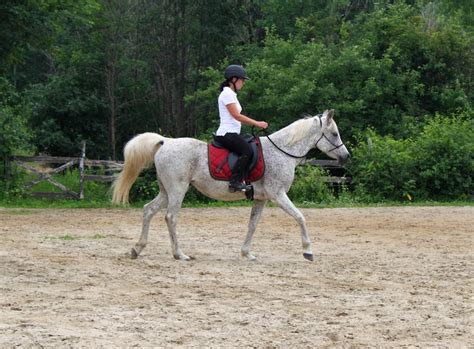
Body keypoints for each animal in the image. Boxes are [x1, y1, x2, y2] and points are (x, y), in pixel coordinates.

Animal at [111, 109, 348, 260]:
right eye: (334, 133)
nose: (346, 157)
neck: (281, 151)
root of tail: (166, 142)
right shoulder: (278, 194)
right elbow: (300, 217)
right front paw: (308, 251)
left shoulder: (261, 198)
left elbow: (253, 224)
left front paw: (247, 253)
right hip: (177, 189)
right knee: (170, 217)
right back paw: (180, 254)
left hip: (166, 191)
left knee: (148, 210)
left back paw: (137, 249)